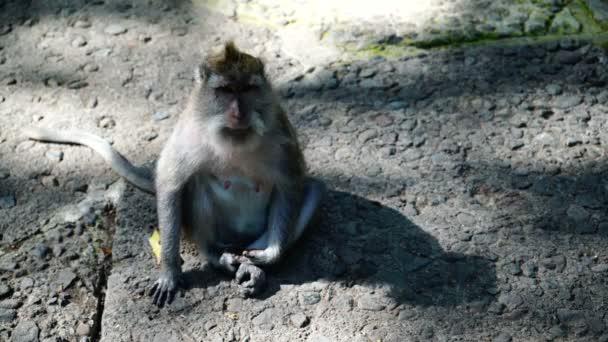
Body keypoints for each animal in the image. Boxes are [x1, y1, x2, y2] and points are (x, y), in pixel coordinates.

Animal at [22, 41, 328, 306]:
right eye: (226, 90)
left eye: (248, 89)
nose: (239, 113)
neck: (236, 138)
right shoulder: (189, 134)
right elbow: (171, 184)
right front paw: (170, 272)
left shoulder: (281, 135)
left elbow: (290, 185)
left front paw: (270, 255)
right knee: (197, 185)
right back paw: (216, 256)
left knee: (314, 189)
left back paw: (253, 265)